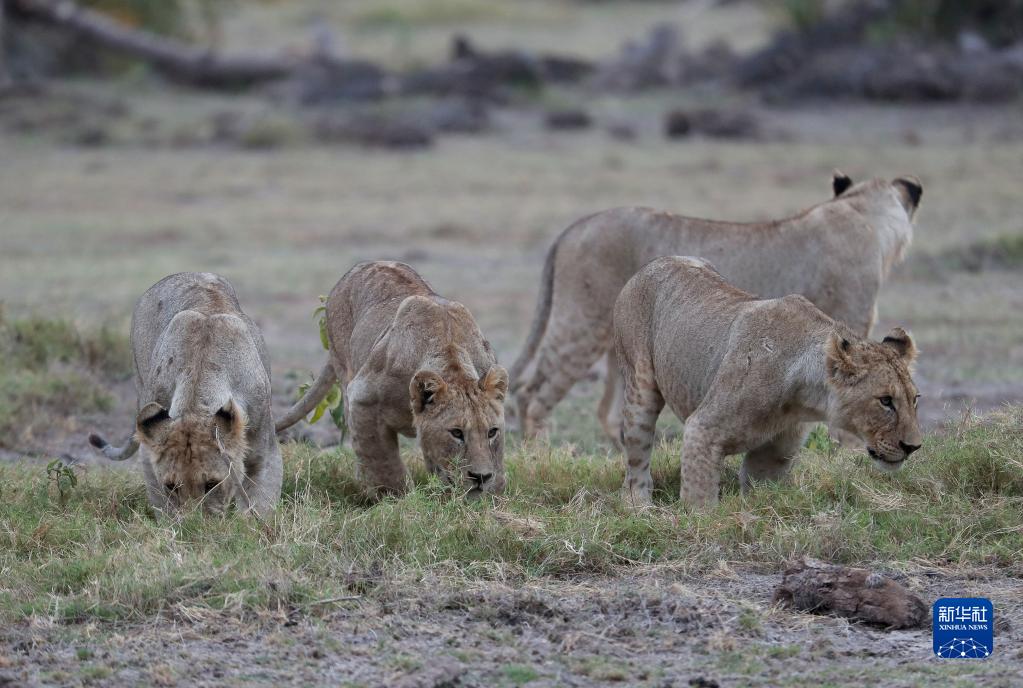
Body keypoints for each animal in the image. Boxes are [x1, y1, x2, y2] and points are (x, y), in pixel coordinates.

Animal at [85, 271, 280, 515]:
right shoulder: (150, 456)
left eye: (211, 484)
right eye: (171, 486)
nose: (194, 523)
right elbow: (162, 503)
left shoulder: (264, 452)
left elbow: (259, 504)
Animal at [274, 260, 509, 496]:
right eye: (456, 433)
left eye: (492, 432)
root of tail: (364, 264)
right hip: (343, 367)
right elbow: (384, 463)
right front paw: (397, 498)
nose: (480, 477)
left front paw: (491, 495)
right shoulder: (364, 398)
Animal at [507, 168, 924, 443]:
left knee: (608, 412)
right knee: (532, 395)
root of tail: (574, 226)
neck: (860, 211)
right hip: (582, 323)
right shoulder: (850, 325)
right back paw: (540, 454)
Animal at [613, 254, 928, 507]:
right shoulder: (701, 430)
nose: (913, 447)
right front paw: (700, 524)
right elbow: (699, 502)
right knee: (636, 460)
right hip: (640, 389)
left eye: (914, 400)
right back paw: (640, 508)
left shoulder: (772, 455)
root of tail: (653, 263)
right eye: (885, 401)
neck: (802, 398)